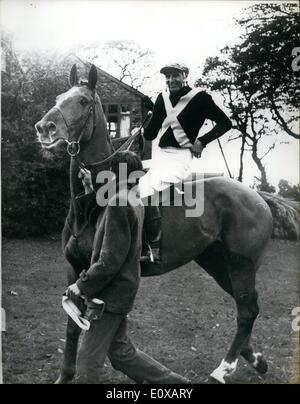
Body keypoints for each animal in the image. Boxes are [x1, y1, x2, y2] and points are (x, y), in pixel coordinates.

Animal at [34, 64, 272, 386]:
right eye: (59, 97)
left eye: (83, 101)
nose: (44, 128)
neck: (88, 206)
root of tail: (257, 196)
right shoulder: (75, 269)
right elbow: (71, 327)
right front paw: (64, 377)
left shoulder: (94, 270)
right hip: (217, 262)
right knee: (247, 305)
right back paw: (255, 359)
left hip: (241, 265)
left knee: (246, 310)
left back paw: (222, 370)